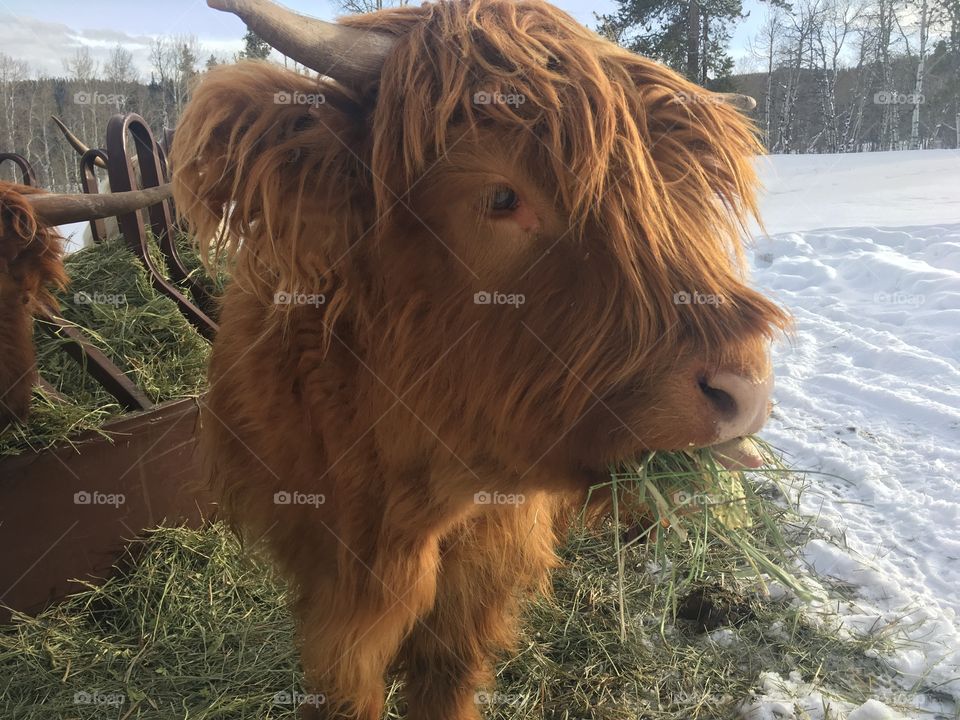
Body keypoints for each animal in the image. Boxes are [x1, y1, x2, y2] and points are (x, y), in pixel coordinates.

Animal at [170, 0, 789, 717]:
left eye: (681, 197)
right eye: (500, 196)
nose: (746, 390)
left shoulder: (489, 562)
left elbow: (448, 671)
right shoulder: (328, 577)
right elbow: (349, 682)